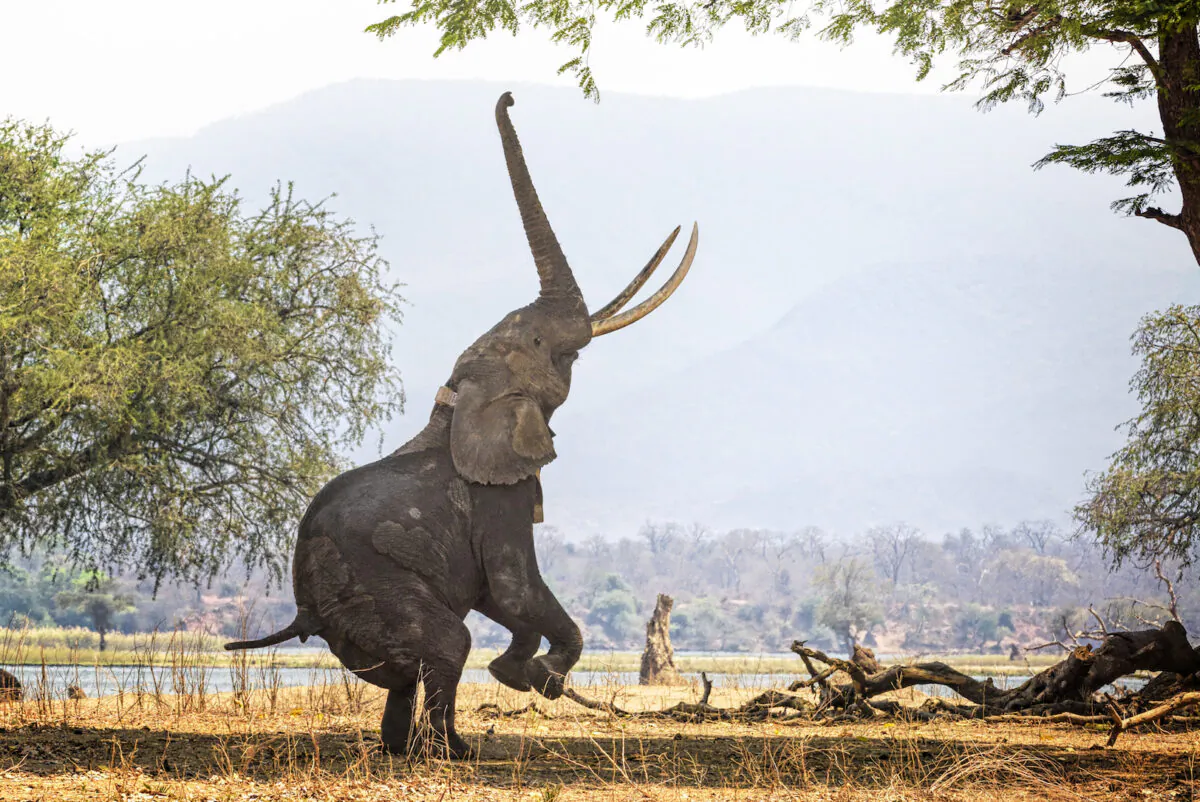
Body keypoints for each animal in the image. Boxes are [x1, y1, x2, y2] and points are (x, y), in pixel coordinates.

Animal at [225, 91, 698, 760]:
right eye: (547, 347)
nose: (509, 96)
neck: (460, 400)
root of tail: (305, 614)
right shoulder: (499, 496)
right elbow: (513, 588)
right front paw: (532, 677)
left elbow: (501, 596)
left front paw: (524, 671)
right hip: (379, 592)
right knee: (448, 644)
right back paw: (454, 749)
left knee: (408, 673)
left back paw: (403, 748)